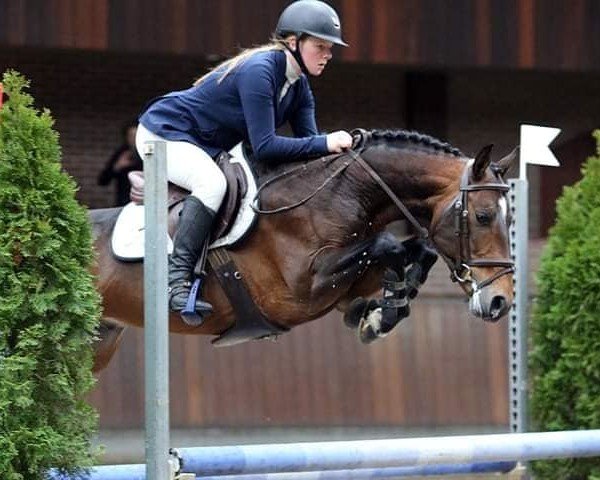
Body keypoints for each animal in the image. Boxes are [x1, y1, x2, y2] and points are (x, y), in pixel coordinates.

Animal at [89, 130, 516, 372]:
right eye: (482, 216)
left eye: (510, 219)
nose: (500, 302)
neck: (344, 193)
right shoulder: (299, 292)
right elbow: (388, 244)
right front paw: (380, 313)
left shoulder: (344, 282)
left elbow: (416, 251)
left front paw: (378, 314)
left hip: (101, 341)